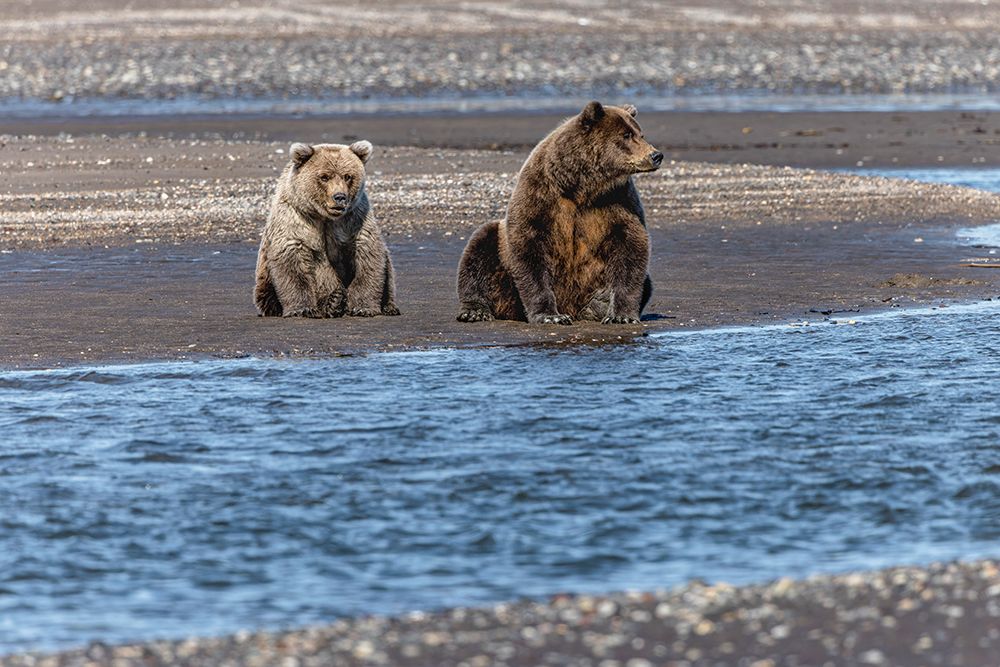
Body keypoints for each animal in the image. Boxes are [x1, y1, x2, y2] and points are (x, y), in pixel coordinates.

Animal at [254, 140, 400, 318]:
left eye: (347, 176)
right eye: (324, 177)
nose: (340, 197)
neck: (325, 217)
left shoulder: (354, 219)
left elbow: (368, 256)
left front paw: (362, 307)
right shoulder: (295, 220)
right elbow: (293, 263)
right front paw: (302, 309)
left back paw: (387, 307)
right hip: (264, 279)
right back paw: (333, 302)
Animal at [456, 101, 661, 325]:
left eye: (641, 134)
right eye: (626, 135)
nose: (656, 155)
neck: (581, 186)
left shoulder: (617, 201)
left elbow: (630, 247)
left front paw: (621, 315)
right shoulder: (542, 196)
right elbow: (529, 251)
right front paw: (550, 316)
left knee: (646, 282)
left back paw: (597, 304)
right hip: (502, 273)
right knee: (479, 250)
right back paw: (474, 310)